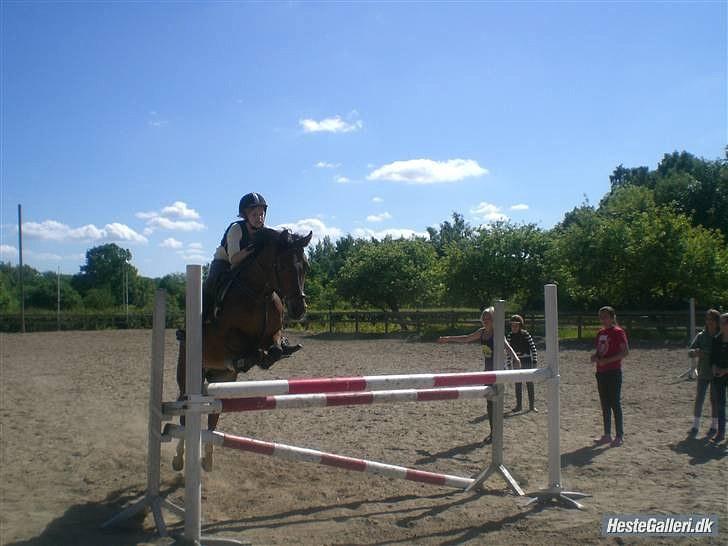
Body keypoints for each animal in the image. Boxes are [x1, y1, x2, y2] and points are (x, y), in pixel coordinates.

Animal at [176, 225, 312, 468]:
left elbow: (275, 346)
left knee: (213, 417)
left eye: (305, 266)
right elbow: (246, 345)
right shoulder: (226, 336)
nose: (299, 309)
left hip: (222, 379)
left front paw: (272, 355)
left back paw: (207, 460)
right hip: (188, 374)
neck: (260, 294)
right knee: (184, 414)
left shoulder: (273, 333)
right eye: (282, 266)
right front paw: (249, 358)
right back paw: (179, 459)